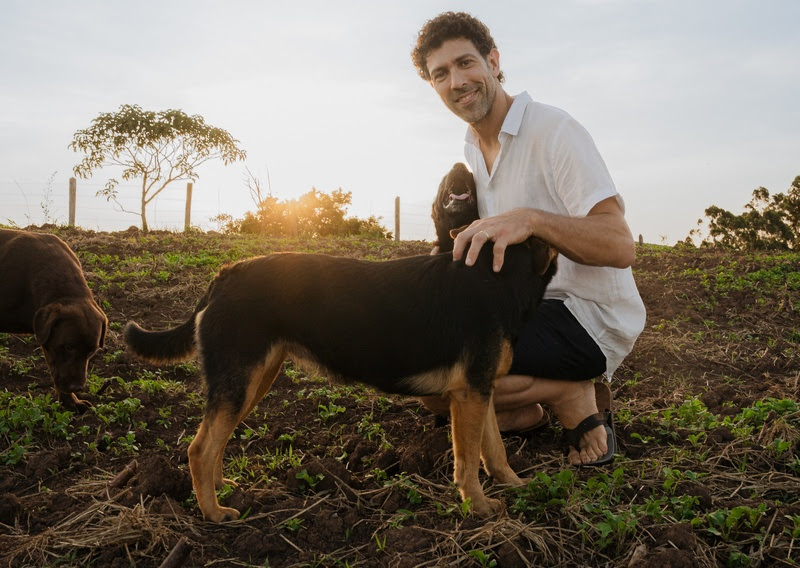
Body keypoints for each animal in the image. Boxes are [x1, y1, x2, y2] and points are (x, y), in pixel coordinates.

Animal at [0, 229, 108, 410]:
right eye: (68, 347)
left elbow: (55, 369)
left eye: (91, 351)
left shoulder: (49, 341)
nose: (77, 387)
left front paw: (71, 402)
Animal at [126, 163, 556, 520]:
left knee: (215, 441)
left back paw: (221, 490)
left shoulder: (479, 391)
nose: (460, 167)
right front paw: (478, 507)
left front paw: (515, 485)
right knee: (199, 449)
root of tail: (224, 275)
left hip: (253, 381)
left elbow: (495, 450)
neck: (498, 273)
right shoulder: (470, 395)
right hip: (240, 383)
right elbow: (468, 462)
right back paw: (213, 512)